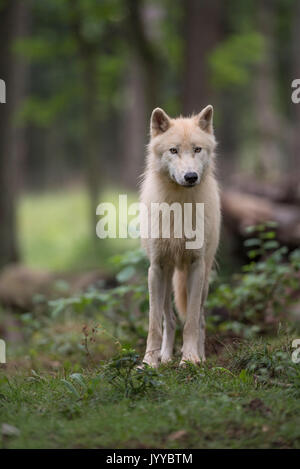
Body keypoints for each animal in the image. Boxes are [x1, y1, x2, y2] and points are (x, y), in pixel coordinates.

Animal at [139, 105, 220, 366]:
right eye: (173, 150)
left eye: (197, 149)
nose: (191, 176)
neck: (179, 205)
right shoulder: (156, 268)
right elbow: (154, 324)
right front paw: (149, 363)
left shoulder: (195, 266)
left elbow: (192, 322)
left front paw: (190, 359)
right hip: (166, 278)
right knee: (170, 319)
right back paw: (164, 357)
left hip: (203, 280)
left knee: (201, 319)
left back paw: (201, 357)